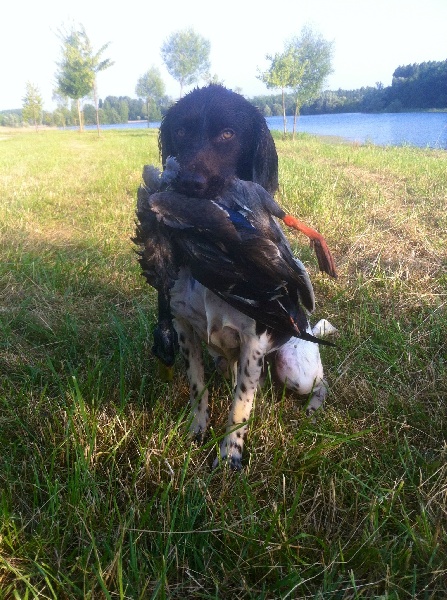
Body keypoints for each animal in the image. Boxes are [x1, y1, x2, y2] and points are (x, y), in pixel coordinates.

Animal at [138, 83, 334, 468]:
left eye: (228, 134)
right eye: (180, 131)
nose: (189, 183)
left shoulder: (253, 343)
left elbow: (241, 405)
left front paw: (229, 455)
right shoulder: (185, 330)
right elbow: (198, 388)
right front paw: (197, 431)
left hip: (295, 370)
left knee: (321, 382)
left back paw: (314, 405)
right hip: (223, 356)